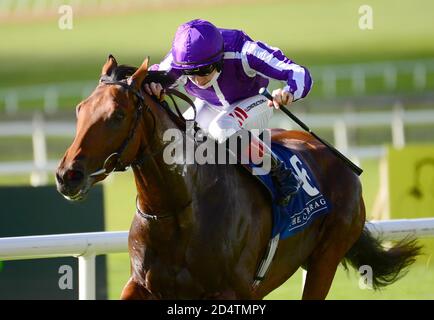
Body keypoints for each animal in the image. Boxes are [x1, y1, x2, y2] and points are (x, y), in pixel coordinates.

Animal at [55, 55, 420, 300]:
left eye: (118, 115)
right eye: (79, 109)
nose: (66, 175)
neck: (179, 210)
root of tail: (340, 160)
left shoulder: (231, 292)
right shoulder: (141, 285)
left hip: (326, 258)